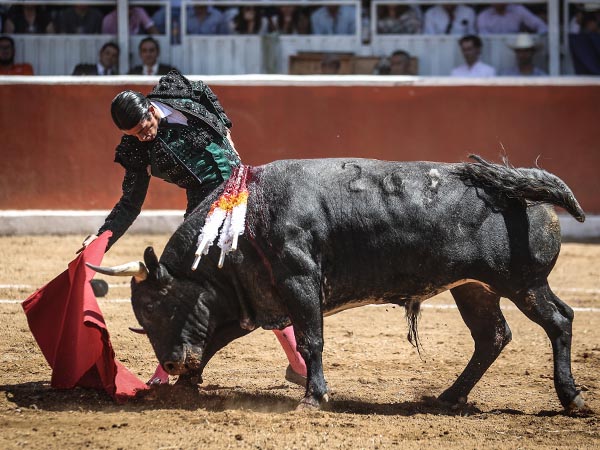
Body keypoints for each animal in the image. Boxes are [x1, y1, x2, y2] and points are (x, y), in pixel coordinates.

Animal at [89, 156, 584, 412]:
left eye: (158, 305)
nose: (172, 363)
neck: (247, 220)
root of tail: (523, 189)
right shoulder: (248, 300)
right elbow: (214, 342)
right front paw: (182, 386)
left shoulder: (300, 281)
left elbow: (312, 340)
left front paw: (313, 397)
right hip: (474, 288)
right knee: (493, 336)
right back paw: (449, 396)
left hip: (523, 283)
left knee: (559, 320)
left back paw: (571, 398)